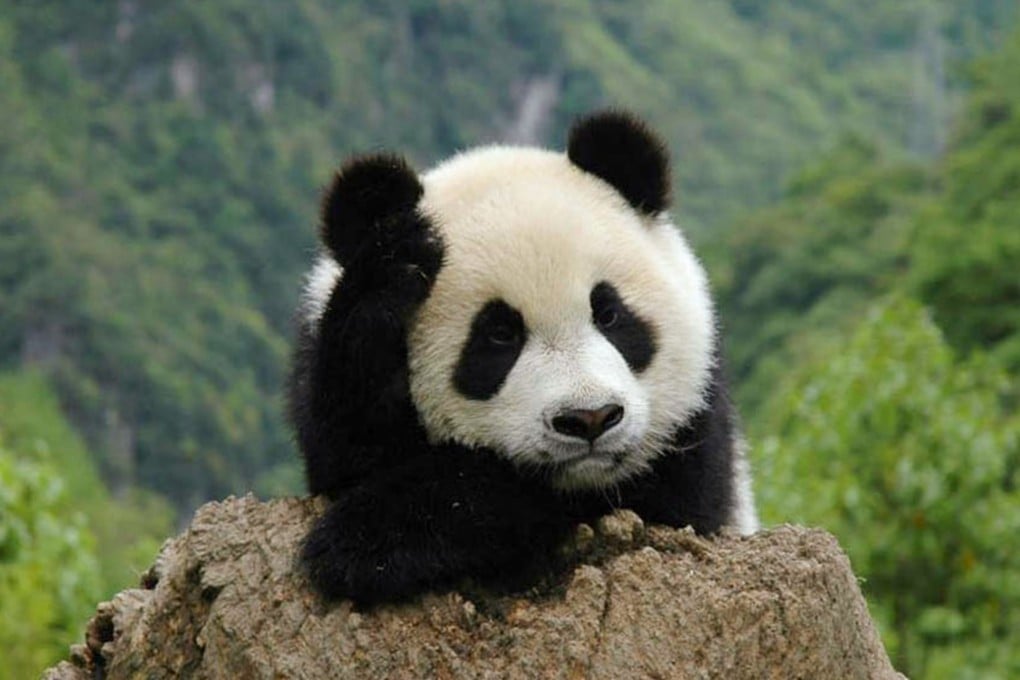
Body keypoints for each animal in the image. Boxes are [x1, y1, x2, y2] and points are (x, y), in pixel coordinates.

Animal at [289, 110, 757, 604]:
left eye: (608, 313)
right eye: (499, 335)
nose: (590, 418)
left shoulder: (695, 437)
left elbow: (649, 502)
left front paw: (364, 539)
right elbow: (348, 434)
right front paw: (393, 259)